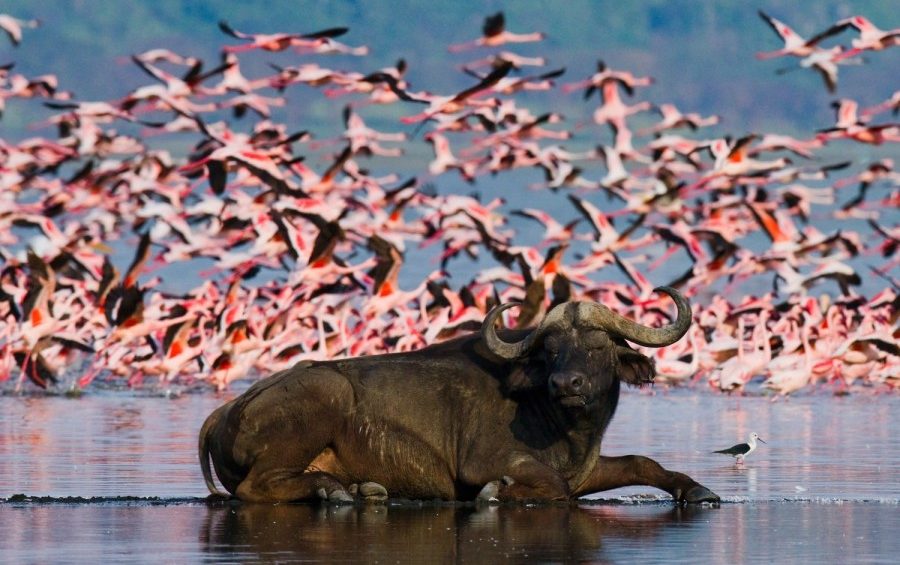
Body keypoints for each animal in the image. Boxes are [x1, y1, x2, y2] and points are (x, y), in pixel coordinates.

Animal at [199, 286, 719, 504]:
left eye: (597, 346)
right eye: (551, 350)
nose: (566, 384)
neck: (565, 426)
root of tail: (223, 412)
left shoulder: (586, 469)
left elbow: (641, 463)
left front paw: (698, 489)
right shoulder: (484, 462)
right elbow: (549, 486)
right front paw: (497, 494)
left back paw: (358, 489)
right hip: (321, 398)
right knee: (253, 489)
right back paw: (335, 493)